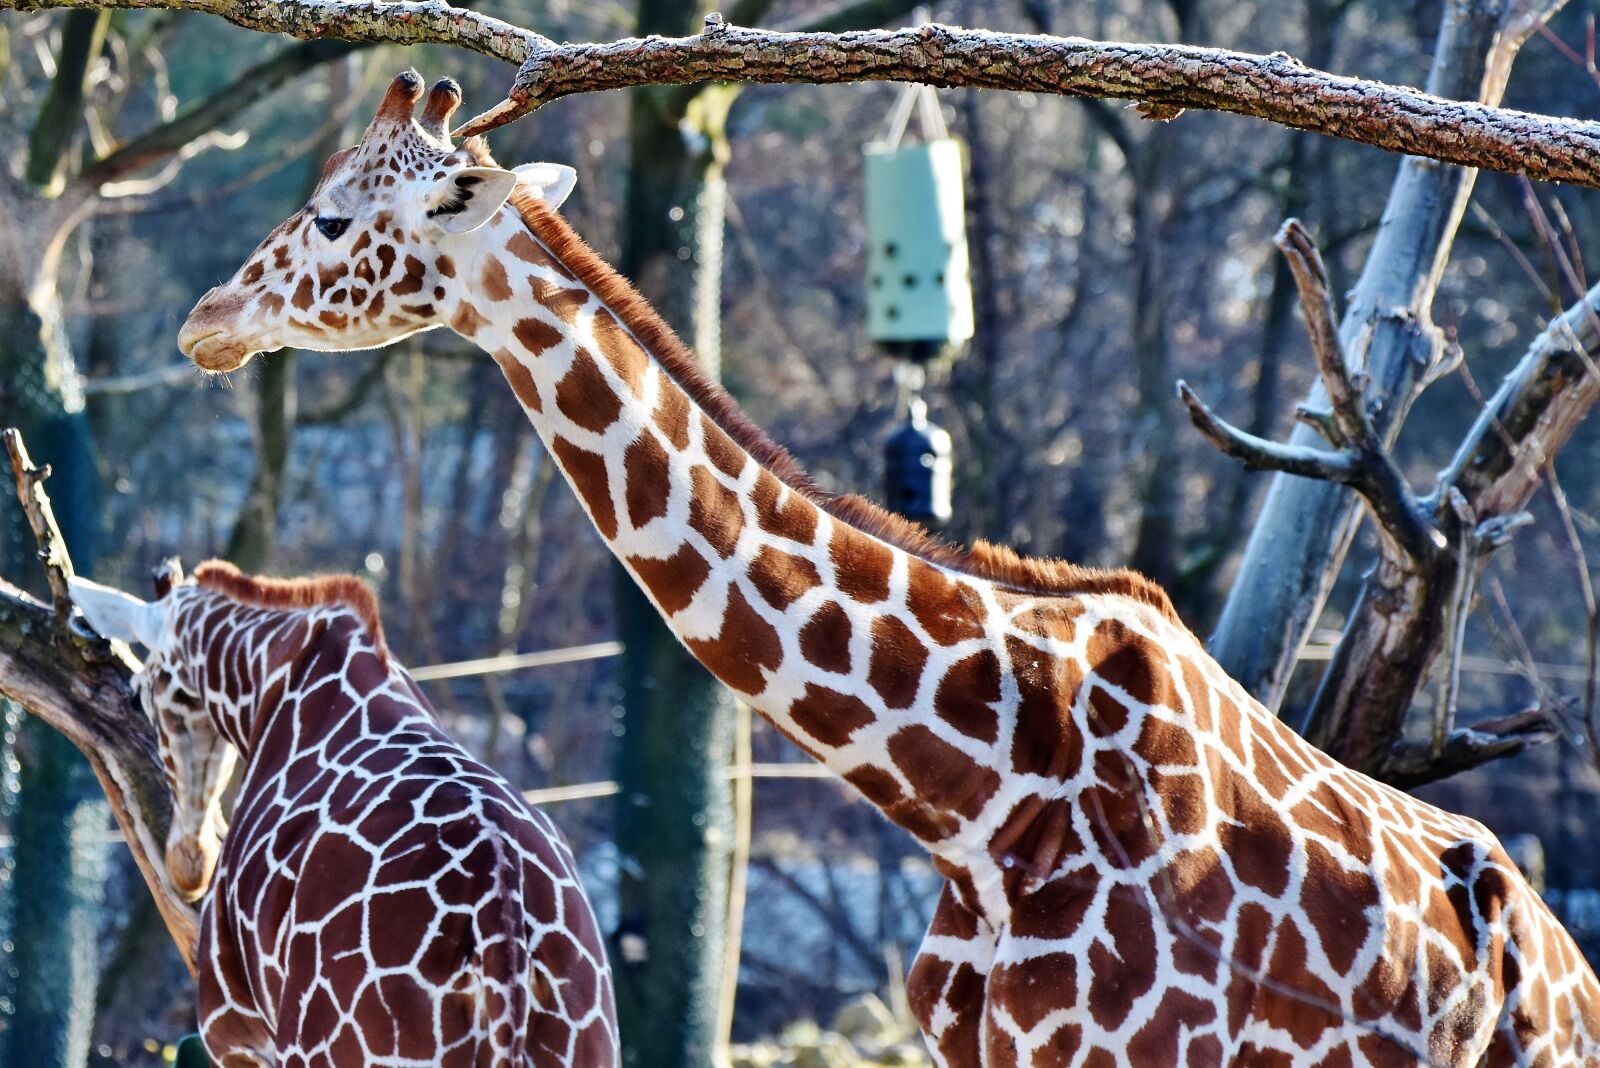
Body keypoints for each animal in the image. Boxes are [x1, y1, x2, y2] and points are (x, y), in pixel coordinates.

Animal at [69, 561, 618, 1067]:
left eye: (140, 693)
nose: (188, 867)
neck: (277, 672)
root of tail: (499, 926)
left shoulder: (232, 1029)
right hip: (586, 1045)